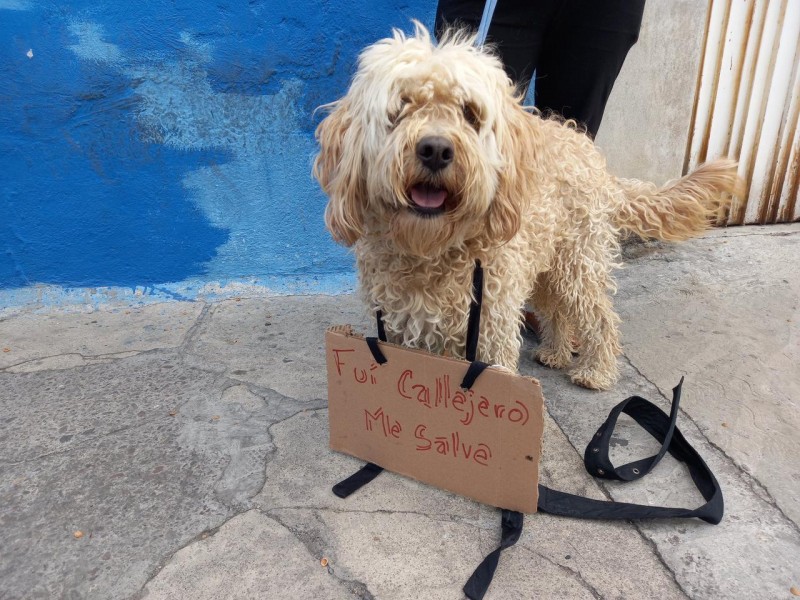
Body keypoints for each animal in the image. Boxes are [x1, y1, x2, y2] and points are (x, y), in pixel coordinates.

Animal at [314, 24, 744, 390]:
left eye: (470, 113)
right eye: (401, 106)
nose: (436, 149)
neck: (432, 251)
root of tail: (592, 157)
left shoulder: (490, 326)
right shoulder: (403, 326)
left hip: (577, 263)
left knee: (599, 316)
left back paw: (596, 371)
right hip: (543, 269)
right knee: (556, 310)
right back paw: (556, 352)